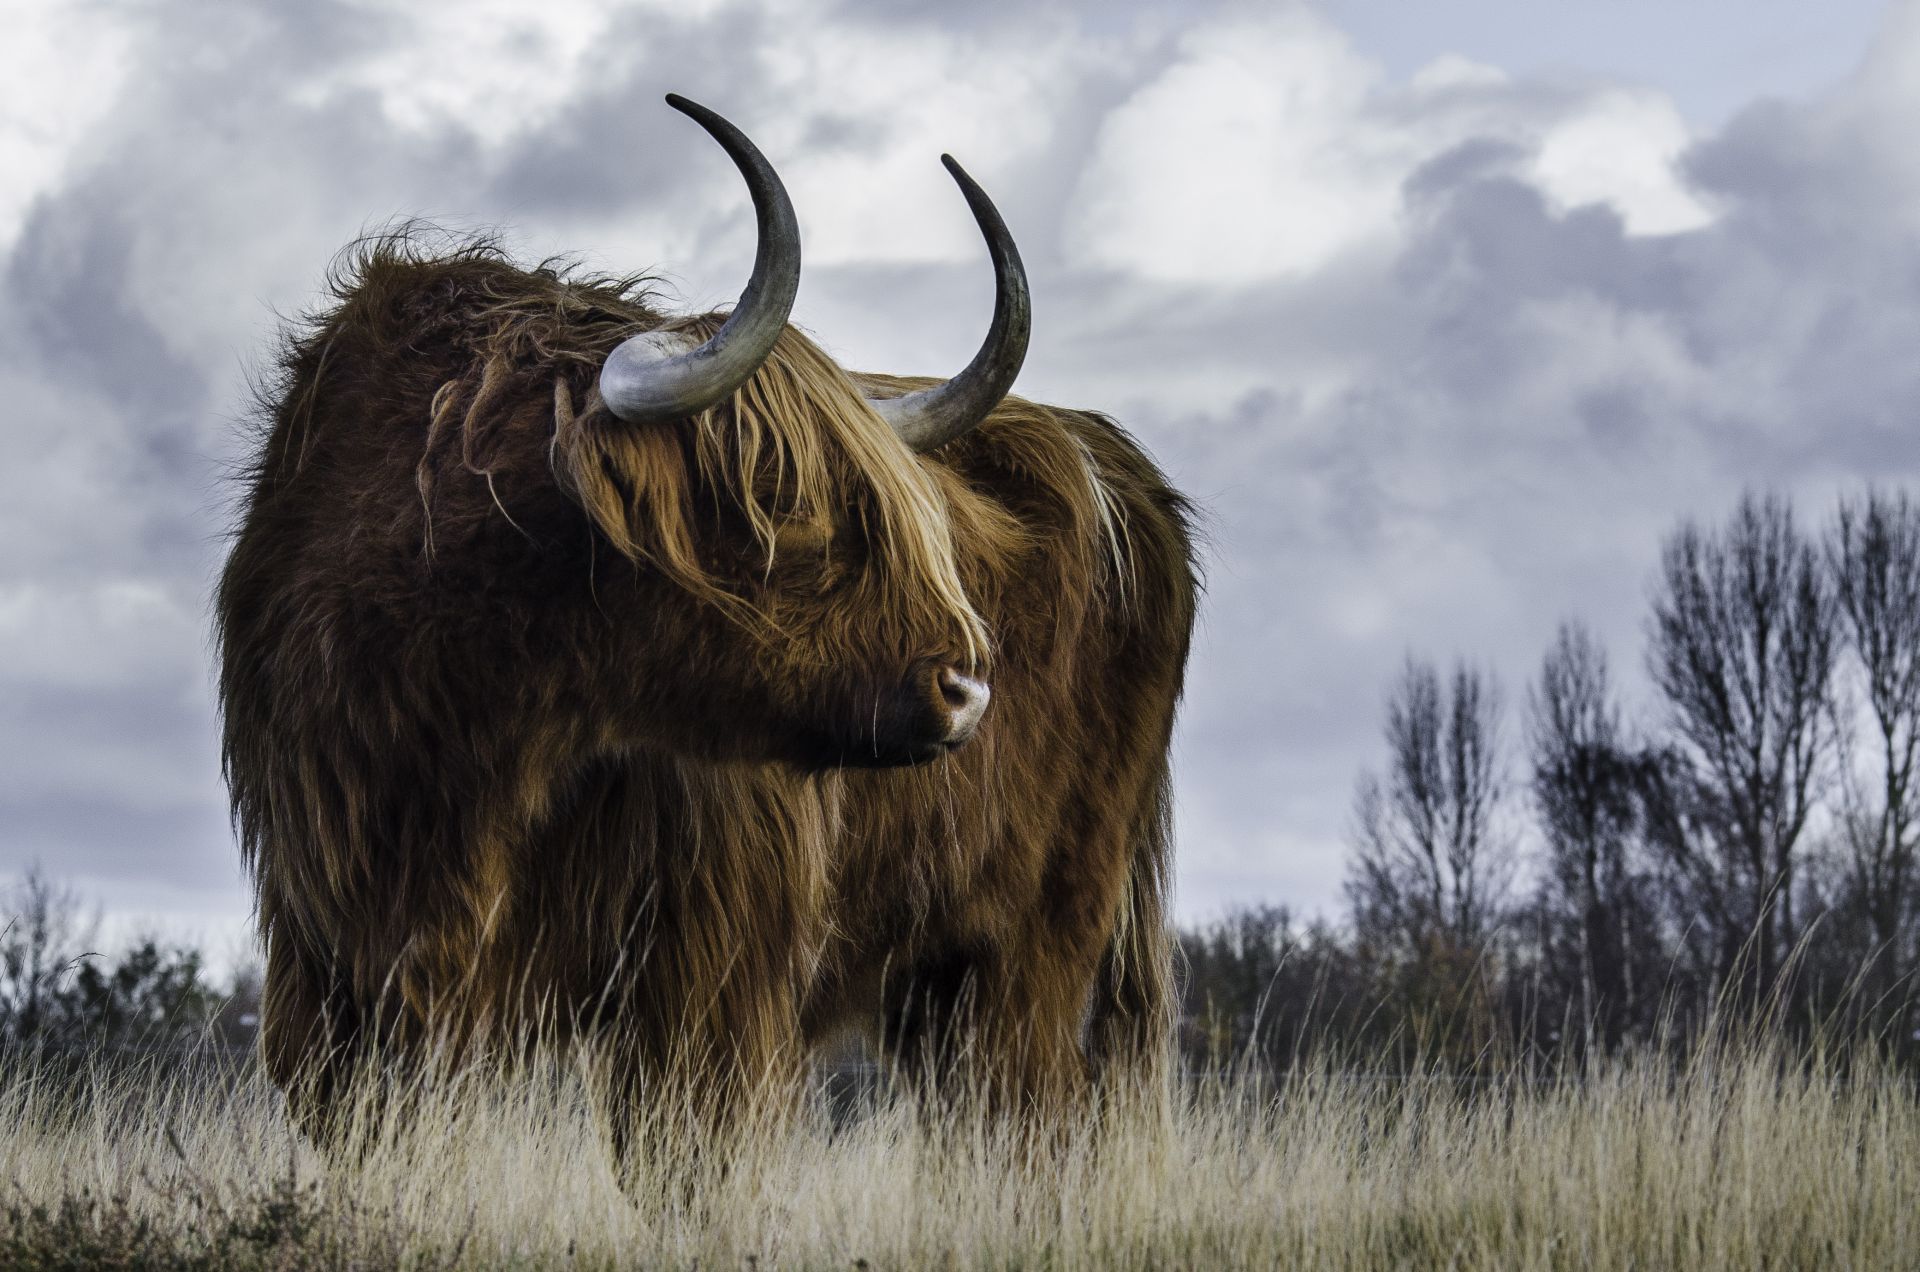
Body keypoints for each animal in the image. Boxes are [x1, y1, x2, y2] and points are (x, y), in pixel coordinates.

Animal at [217, 95, 1197, 1150]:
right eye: (780, 494)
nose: (966, 688)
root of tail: (1120, 465)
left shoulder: (709, 975)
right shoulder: (330, 961)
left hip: (1036, 942)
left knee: (1034, 1115)